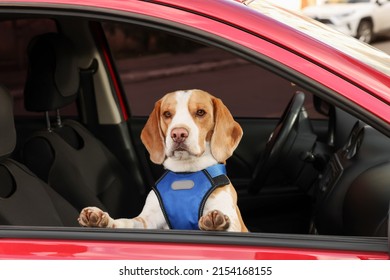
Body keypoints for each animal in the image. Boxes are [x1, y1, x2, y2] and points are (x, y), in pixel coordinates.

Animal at [77, 89, 247, 232]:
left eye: (200, 112)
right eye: (167, 114)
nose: (178, 134)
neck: (186, 172)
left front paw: (215, 222)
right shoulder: (148, 220)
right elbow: (126, 222)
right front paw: (103, 219)